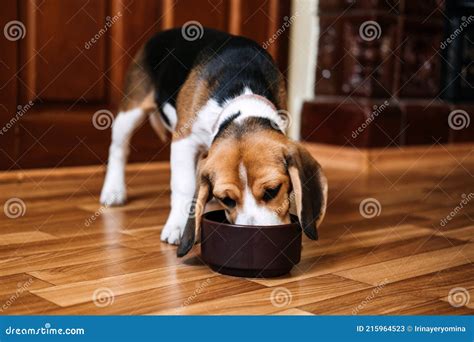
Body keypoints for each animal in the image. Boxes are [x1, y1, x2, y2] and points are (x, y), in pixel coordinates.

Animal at [101, 27, 326, 256]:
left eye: (272, 191)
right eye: (227, 200)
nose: (252, 238)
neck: (241, 97)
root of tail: (165, 31)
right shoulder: (183, 140)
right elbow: (183, 185)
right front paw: (177, 226)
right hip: (131, 112)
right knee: (118, 148)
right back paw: (113, 190)